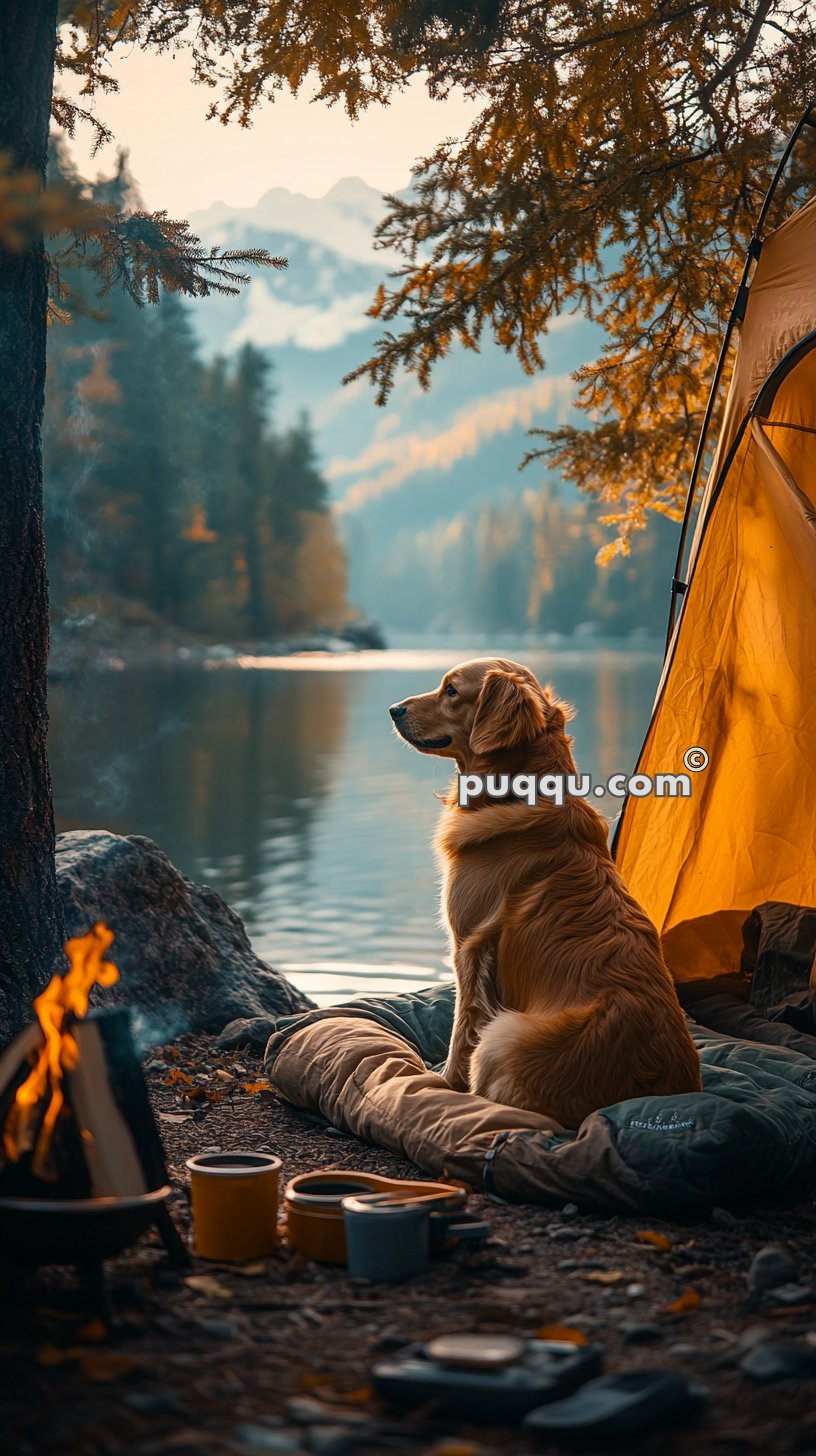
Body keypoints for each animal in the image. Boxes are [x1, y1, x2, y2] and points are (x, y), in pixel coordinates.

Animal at [387, 661, 702, 1124]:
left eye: (451, 691)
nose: (394, 709)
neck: (521, 789)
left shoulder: (469, 945)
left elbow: (462, 1027)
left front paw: (442, 1082)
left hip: (503, 1036)